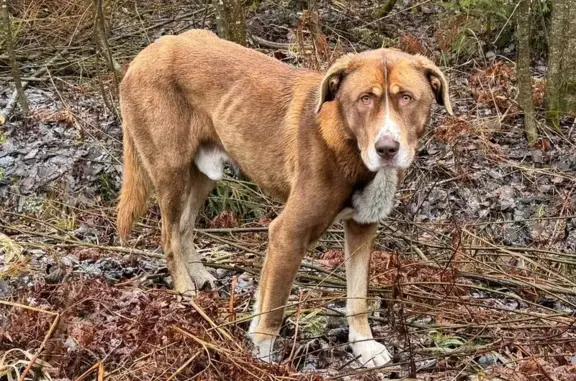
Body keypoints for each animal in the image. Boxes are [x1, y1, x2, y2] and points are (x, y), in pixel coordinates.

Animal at [116, 29, 450, 368]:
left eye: (406, 98)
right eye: (364, 99)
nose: (387, 149)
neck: (347, 143)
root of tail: (145, 53)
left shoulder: (362, 227)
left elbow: (357, 297)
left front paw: (364, 345)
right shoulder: (287, 235)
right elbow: (273, 308)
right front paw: (261, 360)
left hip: (205, 173)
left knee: (184, 226)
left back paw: (199, 276)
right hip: (170, 170)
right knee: (168, 234)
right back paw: (186, 292)